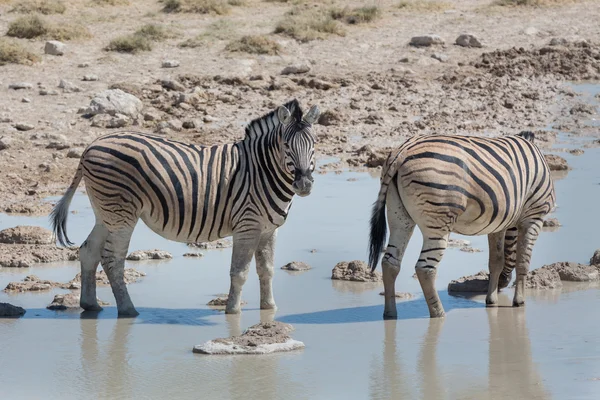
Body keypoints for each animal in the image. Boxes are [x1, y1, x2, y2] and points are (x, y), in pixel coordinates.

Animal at [51, 99, 322, 316]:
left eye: (314, 145)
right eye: (286, 146)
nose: (304, 184)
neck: (262, 171)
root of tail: (92, 144)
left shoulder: (269, 229)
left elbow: (266, 270)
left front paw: (269, 309)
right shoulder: (247, 226)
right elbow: (240, 272)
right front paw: (233, 312)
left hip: (105, 213)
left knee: (89, 251)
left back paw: (90, 305)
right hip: (122, 214)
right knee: (113, 259)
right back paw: (128, 310)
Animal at [368, 131, 556, 318]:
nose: (503, 283)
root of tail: (402, 151)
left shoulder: (498, 224)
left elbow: (496, 261)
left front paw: (492, 300)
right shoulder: (534, 216)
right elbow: (523, 261)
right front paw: (519, 302)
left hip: (398, 216)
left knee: (390, 263)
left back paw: (390, 313)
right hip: (438, 221)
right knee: (425, 268)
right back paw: (439, 313)